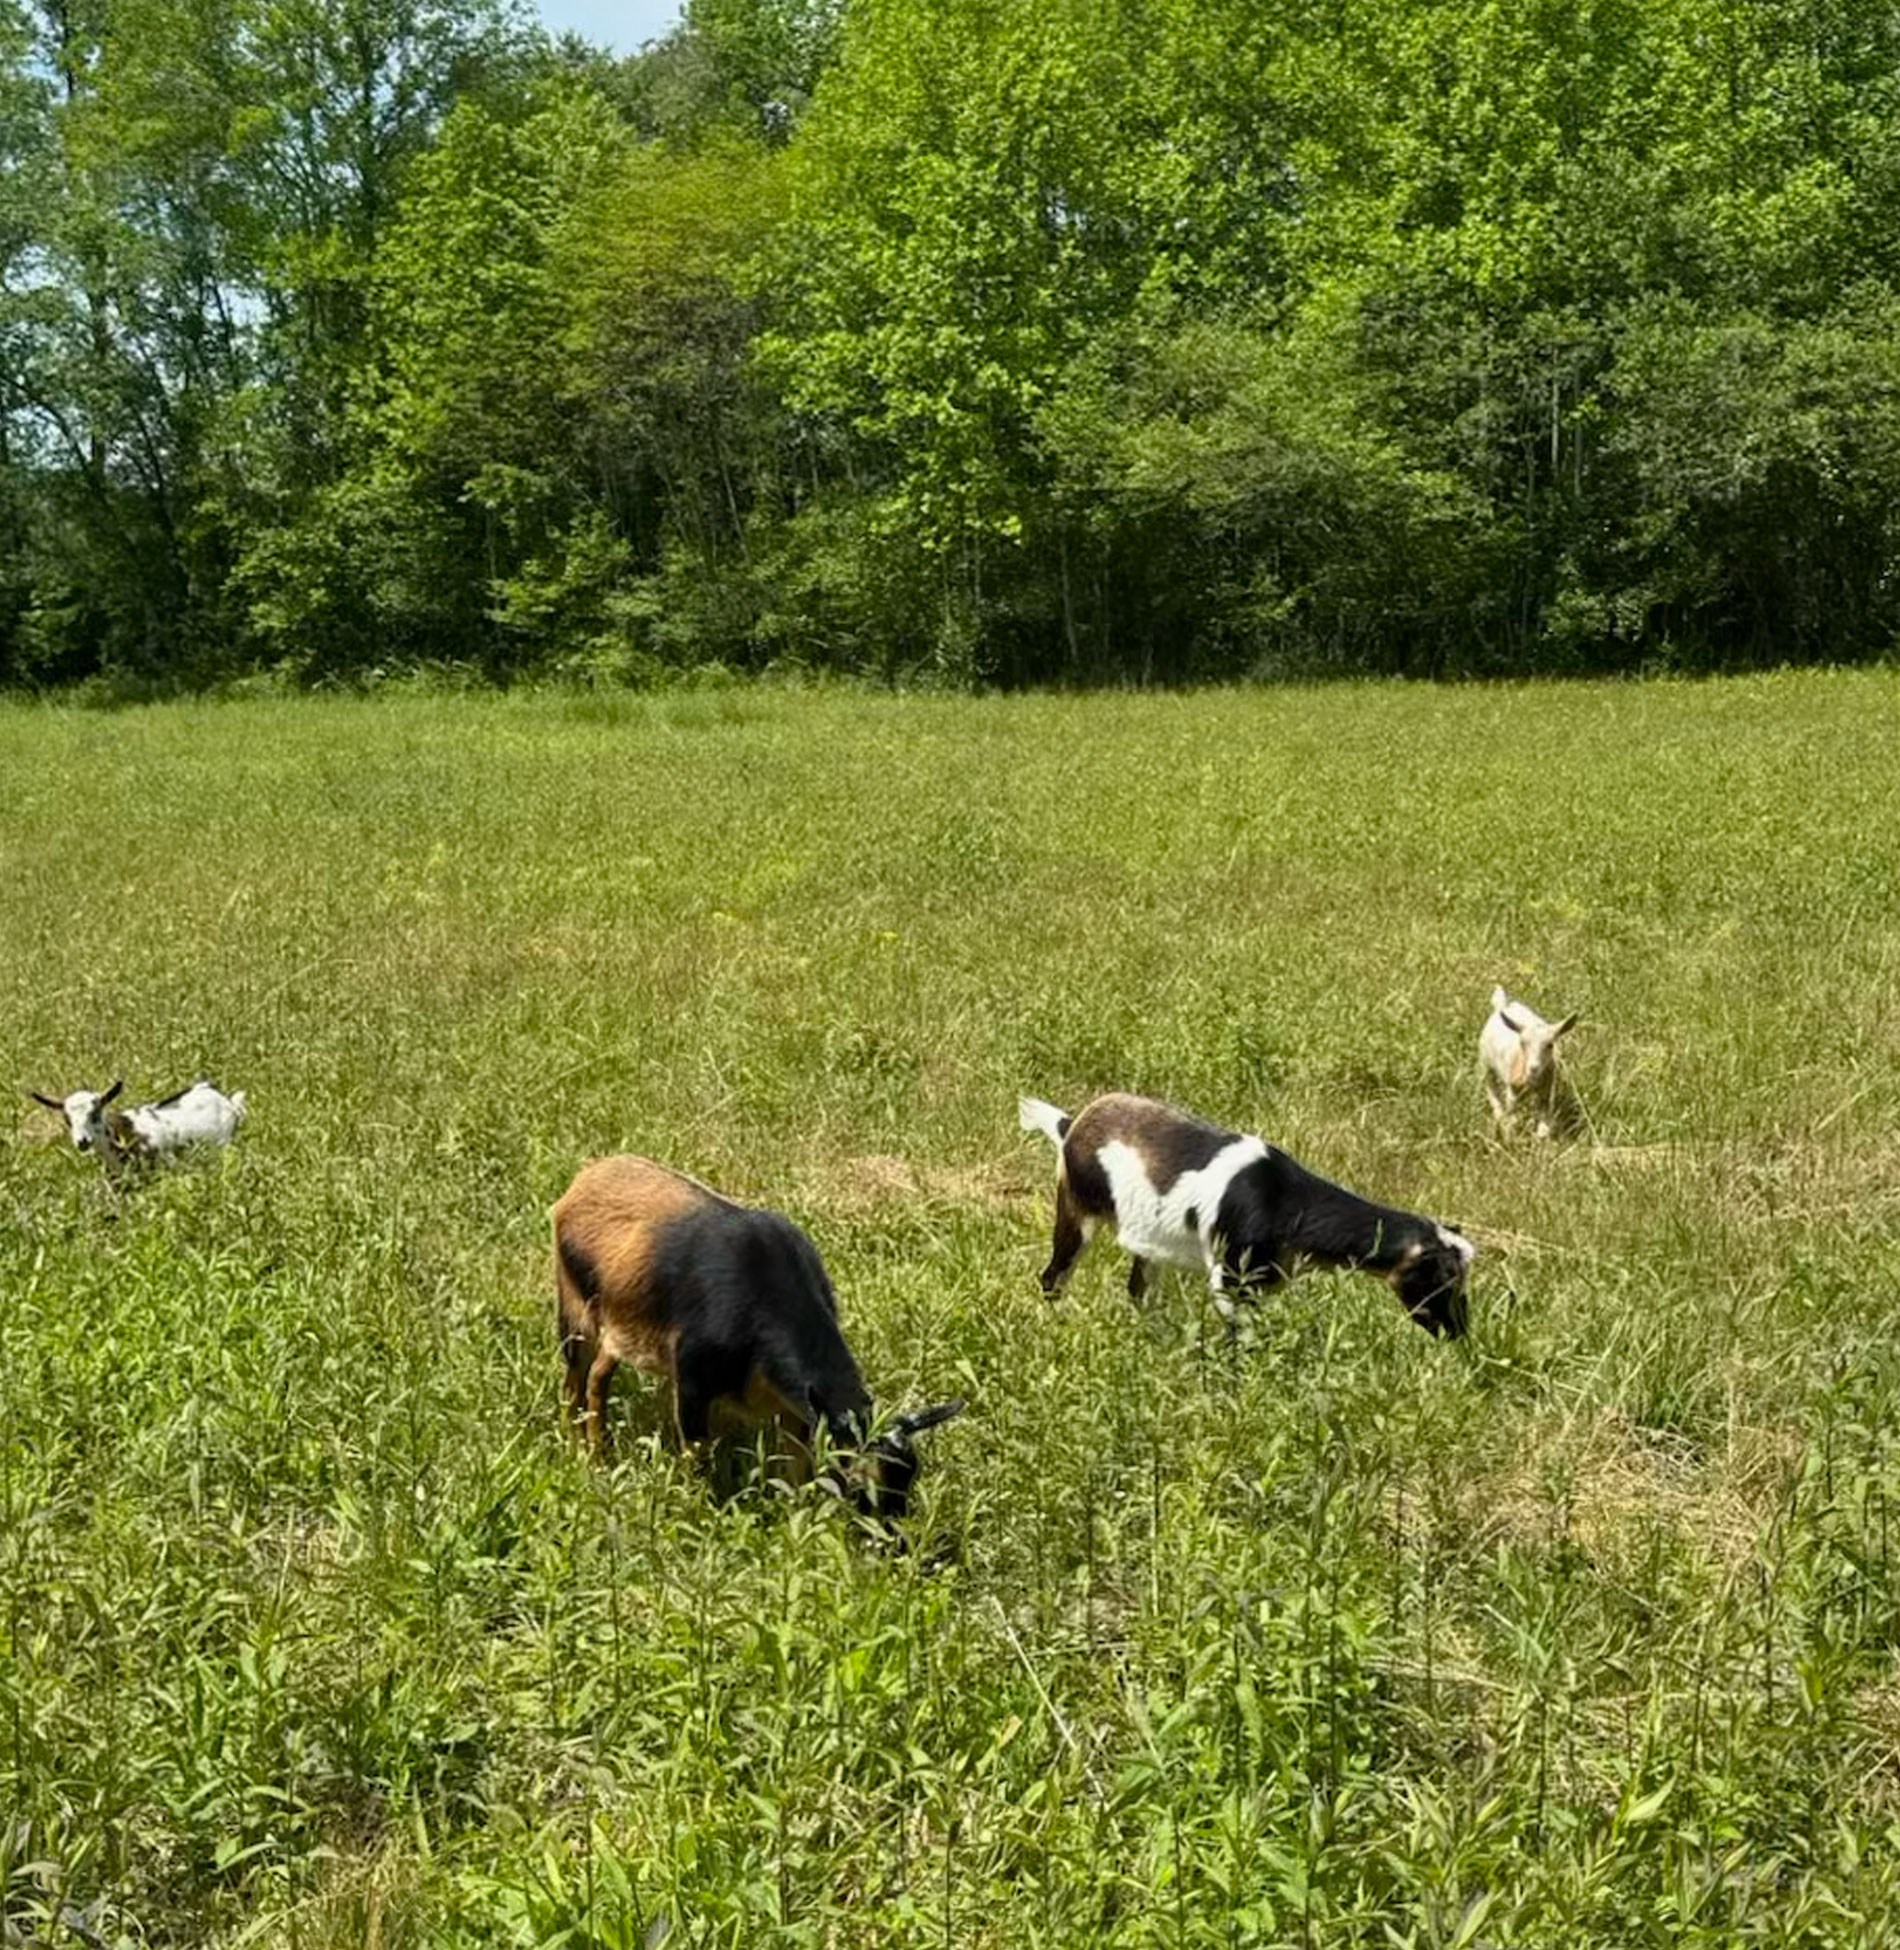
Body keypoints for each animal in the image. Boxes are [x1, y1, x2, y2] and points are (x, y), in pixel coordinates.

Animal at [551, 1155, 965, 1523]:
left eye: (910, 1479)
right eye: (863, 1487)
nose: (896, 1545)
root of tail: (582, 1182)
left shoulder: (793, 1408)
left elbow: (797, 1471)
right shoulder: (693, 1386)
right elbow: (696, 1459)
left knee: (599, 1374)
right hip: (576, 1314)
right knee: (576, 1380)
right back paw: (582, 1453)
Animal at [1019, 1093, 1471, 1337]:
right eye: (1441, 1279)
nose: (1460, 1334)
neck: (1287, 1202)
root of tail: (1071, 1124)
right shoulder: (1229, 1279)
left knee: (1139, 1290)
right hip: (1077, 1209)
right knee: (1053, 1276)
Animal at [1480, 987, 1580, 1138]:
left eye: (1550, 1045)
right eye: (1522, 1043)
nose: (1533, 1068)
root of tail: (1502, 1006)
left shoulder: (1546, 1091)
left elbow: (1544, 1124)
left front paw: (1541, 1137)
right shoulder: (1512, 1091)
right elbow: (1512, 1117)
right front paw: (1510, 1134)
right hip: (1486, 1063)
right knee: (1491, 1089)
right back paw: (1500, 1116)